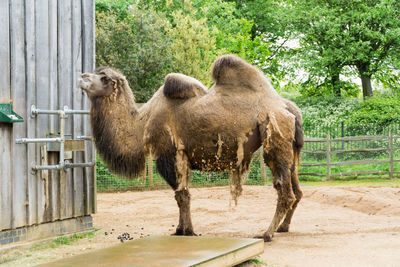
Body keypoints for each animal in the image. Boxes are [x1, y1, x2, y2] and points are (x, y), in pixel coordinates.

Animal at [79, 55, 304, 243]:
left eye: (104, 78)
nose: (82, 77)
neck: (142, 124)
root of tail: (288, 108)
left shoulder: (170, 155)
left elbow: (182, 195)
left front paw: (187, 231)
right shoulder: (183, 157)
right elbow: (182, 194)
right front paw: (180, 230)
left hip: (275, 134)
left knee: (285, 193)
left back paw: (266, 233)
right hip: (290, 149)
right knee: (297, 190)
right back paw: (283, 227)